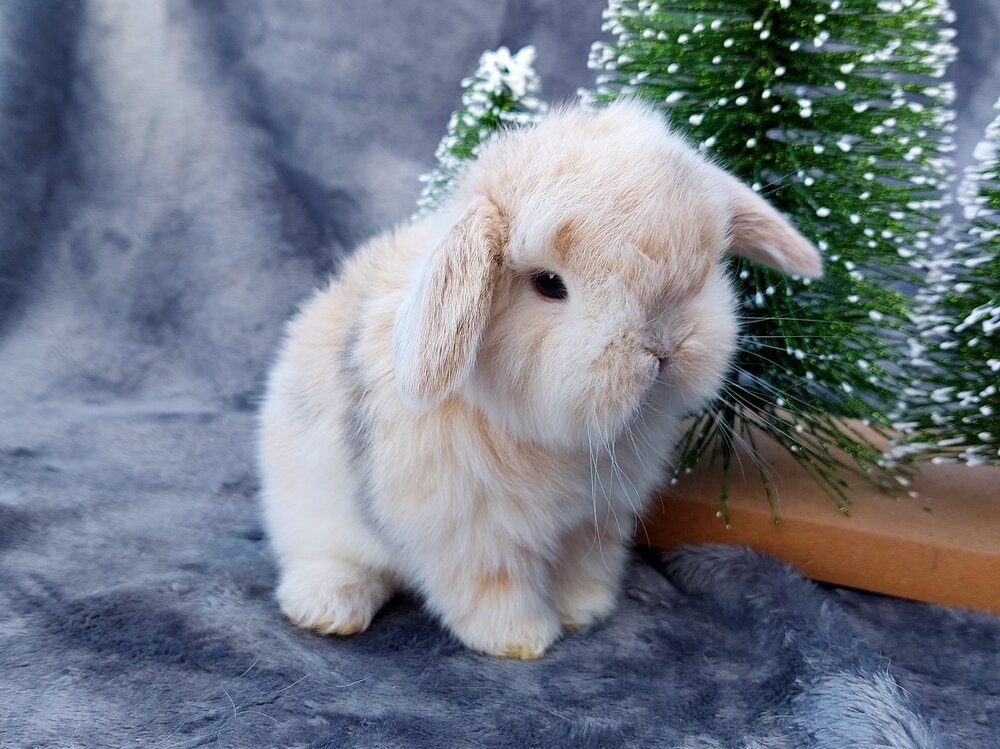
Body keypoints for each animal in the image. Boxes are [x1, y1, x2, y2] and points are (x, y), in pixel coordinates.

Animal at [258, 101, 822, 659]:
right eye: (549, 284)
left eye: (703, 266)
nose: (663, 348)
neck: (551, 436)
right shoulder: (472, 536)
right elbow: (492, 587)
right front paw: (521, 638)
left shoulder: (593, 521)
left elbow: (581, 569)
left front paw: (587, 613)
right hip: (313, 510)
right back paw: (330, 607)